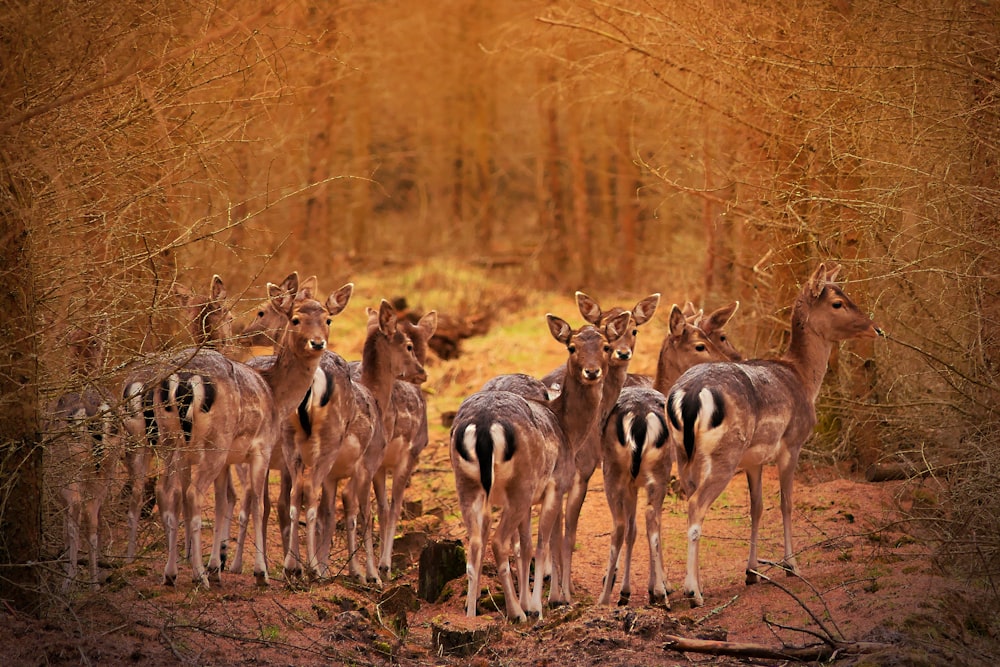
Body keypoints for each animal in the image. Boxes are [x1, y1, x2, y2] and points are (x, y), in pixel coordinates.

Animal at [152, 274, 332, 588]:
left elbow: (225, 503)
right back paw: (199, 576)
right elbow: (259, 505)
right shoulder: (260, 448)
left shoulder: (227, 460)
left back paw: (172, 573)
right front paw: (261, 574)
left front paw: (217, 566)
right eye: (296, 319)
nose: (317, 343)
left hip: (170, 440)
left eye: (327, 318)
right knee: (193, 494)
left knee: (168, 492)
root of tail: (184, 381)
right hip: (215, 441)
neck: (275, 393)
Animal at [454, 310, 632, 624]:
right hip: (519, 486)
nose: (592, 372)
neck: (567, 428)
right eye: (571, 347)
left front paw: (532, 601)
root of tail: (484, 424)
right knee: (498, 541)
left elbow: (526, 545)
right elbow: (543, 542)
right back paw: (517, 613)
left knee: (475, 544)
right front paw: (538, 605)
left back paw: (472, 615)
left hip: (466, 484)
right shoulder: (555, 485)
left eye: (605, 346)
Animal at [592, 306, 744, 608]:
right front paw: (659, 586)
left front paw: (624, 589)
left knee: (619, 524)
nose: (730, 361)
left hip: (613, 472)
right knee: (652, 517)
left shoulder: (631, 483)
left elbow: (631, 529)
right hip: (657, 472)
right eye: (700, 344)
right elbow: (650, 526)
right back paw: (662, 594)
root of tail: (637, 421)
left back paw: (604, 598)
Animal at [668, 264, 880, 608]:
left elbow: (756, 508)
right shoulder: (792, 443)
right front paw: (792, 565)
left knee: (679, 501)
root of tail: (686, 396)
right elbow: (786, 503)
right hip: (725, 453)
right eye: (838, 302)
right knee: (697, 505)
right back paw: (694, 592)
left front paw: (752, 571)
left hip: (682, 453)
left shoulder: (754, 460)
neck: (804, 378)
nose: (876, 328)